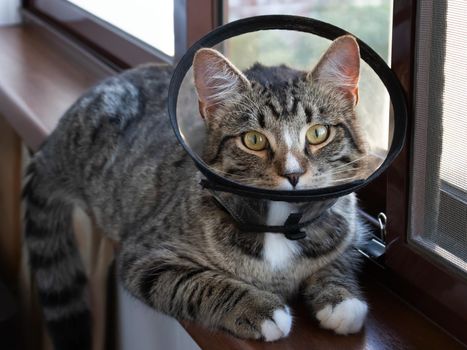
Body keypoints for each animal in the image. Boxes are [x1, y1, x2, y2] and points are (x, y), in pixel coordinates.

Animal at [23, 33, 370, 350]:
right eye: (253, 140)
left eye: (318, 133)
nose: (293, 173)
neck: (279, 221)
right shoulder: (146, 256)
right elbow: (199, 284)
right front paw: (260, 309)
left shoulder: (350, 223)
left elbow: (340, 257)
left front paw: (340, 300)